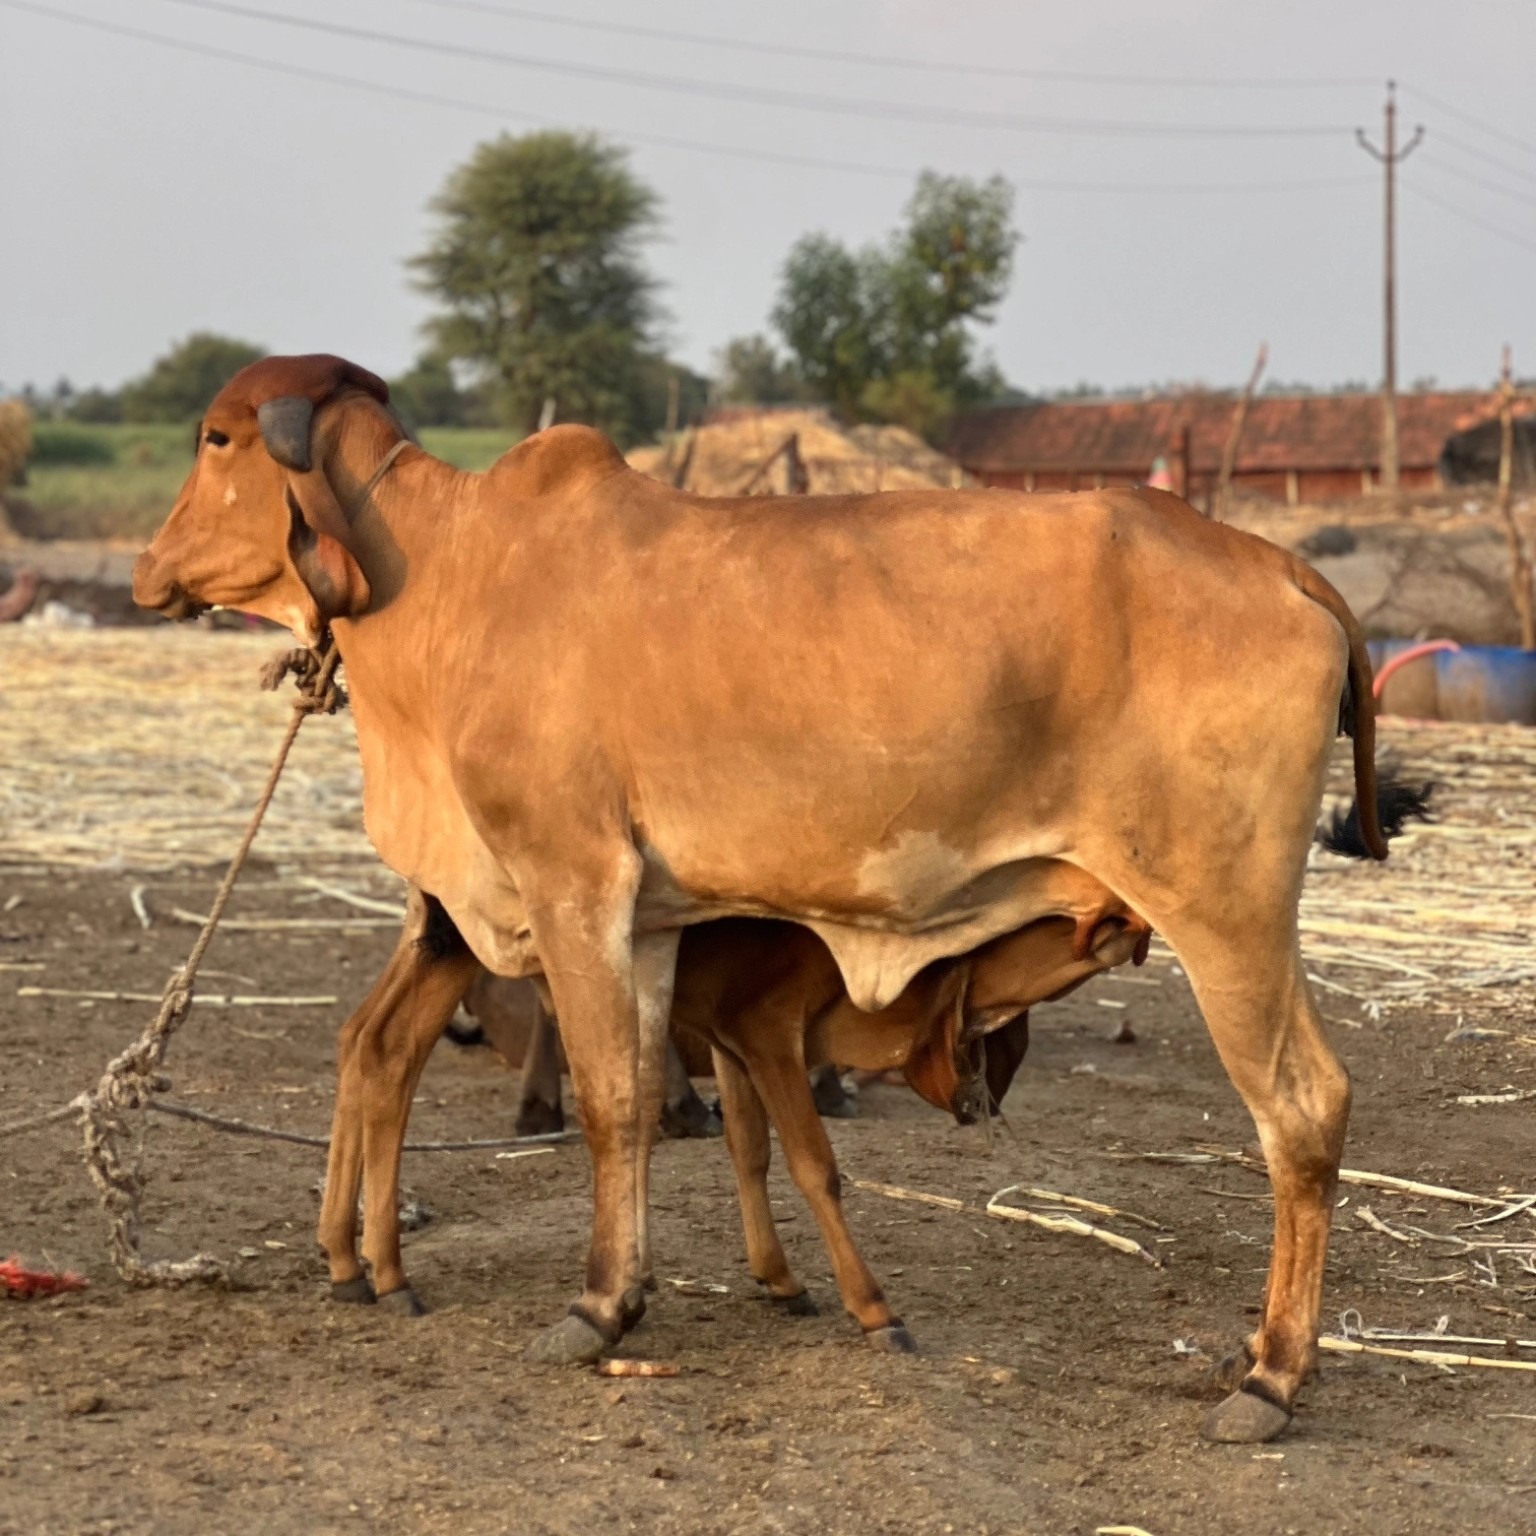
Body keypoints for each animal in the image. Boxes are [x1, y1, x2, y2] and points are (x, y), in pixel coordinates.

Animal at [315, 874, 1143, 1349]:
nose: (1135, 925)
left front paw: (780, 1279)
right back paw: (386, 1268)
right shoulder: (767, 1032)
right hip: (466, 946)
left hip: (443, 947)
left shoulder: (732, 1042)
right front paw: (876, 1310)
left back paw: (353, 1260)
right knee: (388, 1052)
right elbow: (813, 1164)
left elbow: (750, 1148)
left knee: (370, 1044)